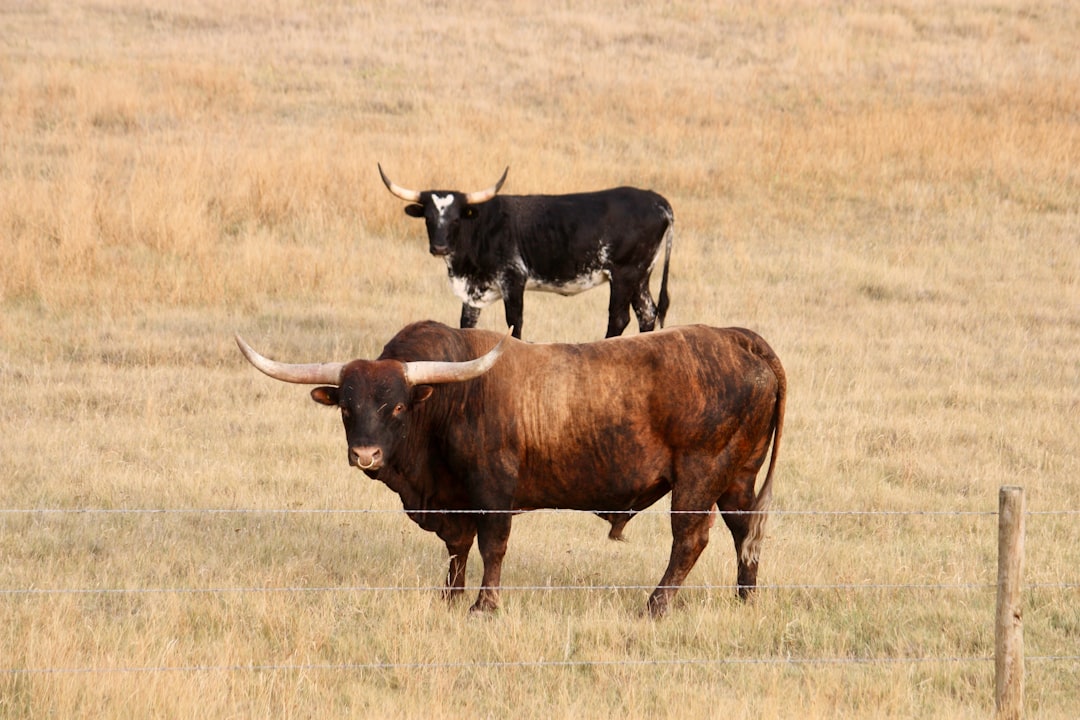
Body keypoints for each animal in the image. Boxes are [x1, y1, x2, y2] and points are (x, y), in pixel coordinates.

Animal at [236, 321, 786, 621]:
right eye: (348, 408)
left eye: (396, 407)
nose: (365, 455)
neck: (450, 402)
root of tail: (737, 339)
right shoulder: (453, 502)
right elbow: (456, 548)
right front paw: (450, 597)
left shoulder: (492, 492)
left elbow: (491, 546)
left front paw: (484, 606)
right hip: (738, 477)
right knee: (746, 532)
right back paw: (746, 597)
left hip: (699, 475)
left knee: (690, 539)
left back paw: (654, 606)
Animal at [375, 166, 669, 341]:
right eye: (428, 218)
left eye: (456, 219)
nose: (439, 247)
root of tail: (657, 201)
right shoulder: (474, 290)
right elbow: (466, 323)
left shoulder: (513, 280)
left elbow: (514, 323)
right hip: (640, 275)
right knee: (647, 313)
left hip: (624, 274)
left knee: (618, 317)